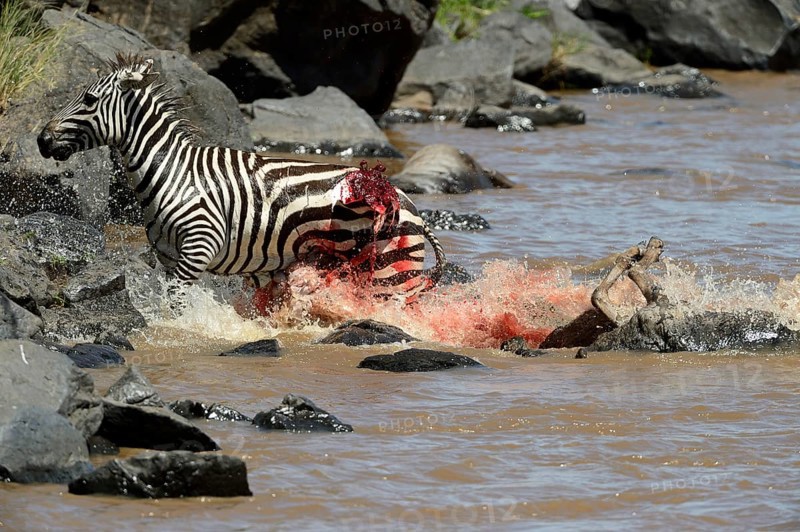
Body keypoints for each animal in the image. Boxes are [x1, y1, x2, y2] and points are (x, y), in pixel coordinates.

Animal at [37, 53, 446, 311]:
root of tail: (410, 204)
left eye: (89, 99)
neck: (174, 173)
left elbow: (177, 306)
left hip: (392, 270)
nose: (41, 139)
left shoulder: (199, 246)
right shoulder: (168, 257)